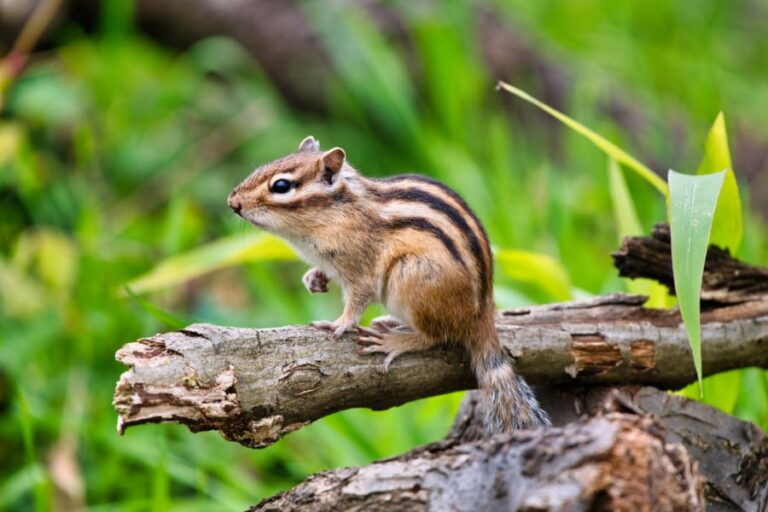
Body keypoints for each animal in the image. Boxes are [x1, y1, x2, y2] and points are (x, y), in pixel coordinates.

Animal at [227, 136, 551, 434]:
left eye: (281, 186)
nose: (233, 202)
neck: (336, 213)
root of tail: (482, 318)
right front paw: (314, 278)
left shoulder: (361, 268)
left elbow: (358, 299)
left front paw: (339, 324)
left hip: (409, 277)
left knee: (436, 336)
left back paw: (394, 341)